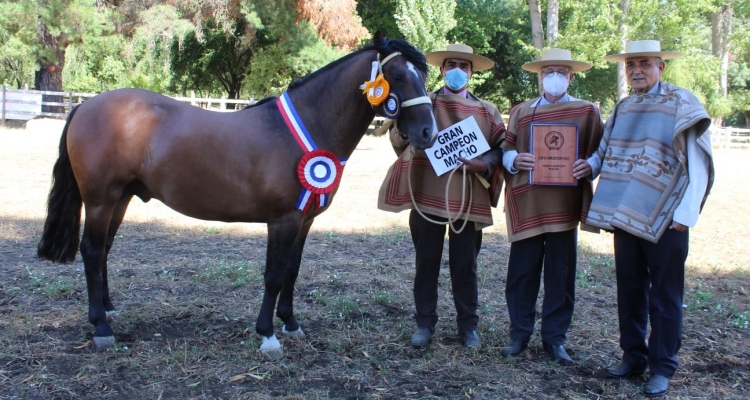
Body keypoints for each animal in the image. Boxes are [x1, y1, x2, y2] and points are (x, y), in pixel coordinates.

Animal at [38, 34, 438, 358]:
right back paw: (101, 328)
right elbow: (274, 274)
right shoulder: (283, 220)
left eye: (422, 76)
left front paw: (291, 323)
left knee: (104, 249)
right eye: (397, 77)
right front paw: (268, 335)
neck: (306, 128)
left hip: (121, 198)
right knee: (91, 250)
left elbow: (292, 271)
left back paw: (108, 309)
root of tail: (84, 106)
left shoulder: (304, 220)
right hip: (101, 199)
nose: (427, 132)